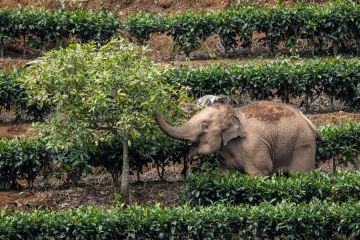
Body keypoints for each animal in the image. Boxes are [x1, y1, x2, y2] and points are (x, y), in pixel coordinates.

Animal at [157, 100, 320, 175]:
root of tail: (308, 121)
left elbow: (261, 172)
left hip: (302, 146)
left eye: (205, 125)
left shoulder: (254, 147)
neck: (234, 112)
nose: (154, 109)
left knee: (300, 174)